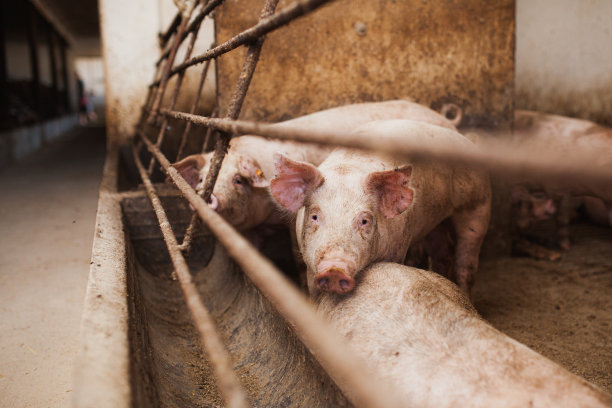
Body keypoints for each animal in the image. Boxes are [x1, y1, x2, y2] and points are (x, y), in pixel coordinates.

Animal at [270, 118, 490, 296]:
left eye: (364, 220)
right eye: (314, 216)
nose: (334, 269)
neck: (348, 169)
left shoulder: (400, 246)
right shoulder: (309, 266)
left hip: (478, 205)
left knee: (467, 261)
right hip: (434, 222)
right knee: (442, 253)